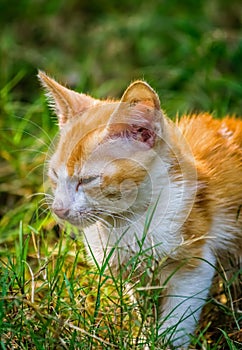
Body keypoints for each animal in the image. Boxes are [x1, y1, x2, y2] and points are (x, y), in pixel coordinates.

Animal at [38, 70, 241, 348]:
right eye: (55, 174)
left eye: (87, 179)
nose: (59, 209)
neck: (127, 222)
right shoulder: (133, 275)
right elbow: (146, 309)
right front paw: (146, 335)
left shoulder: (195, 263)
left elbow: (178, 318)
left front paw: (164, 342)